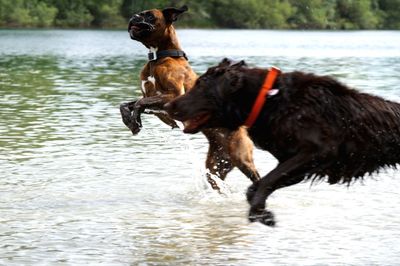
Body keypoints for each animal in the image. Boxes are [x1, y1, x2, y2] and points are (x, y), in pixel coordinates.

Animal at [120, 6, 260, 189]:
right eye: (140, 13)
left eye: (149, 16)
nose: (134, 16)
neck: (158, 58)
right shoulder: (152, 101)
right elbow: (127, 104)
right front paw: (130, 121)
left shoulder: (172, 96)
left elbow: (139, 103)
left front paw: (135, 121)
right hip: (216, 167)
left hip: (242, 159)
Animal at [165, 59, 400, 225]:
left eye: (201, 84)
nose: (168, 106)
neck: (272, 100)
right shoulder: (293, 163)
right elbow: (256, 186)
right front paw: (261, 211)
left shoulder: (318, 152)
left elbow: (264, 183)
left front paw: (261, 214)